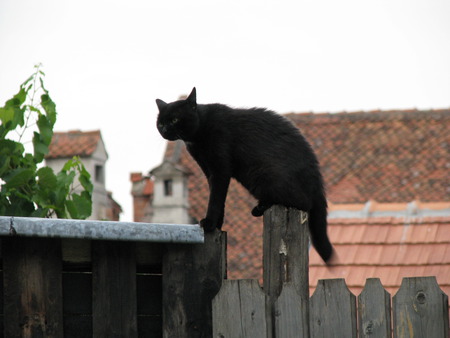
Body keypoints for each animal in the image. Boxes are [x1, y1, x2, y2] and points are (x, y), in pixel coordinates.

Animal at [156, 87, 332, 262]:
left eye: (175, 120)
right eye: (160, 123)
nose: (164, 129)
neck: (199, 131)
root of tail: (316, 178)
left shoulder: (220, 170)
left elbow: (215, 198)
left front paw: (210, 223)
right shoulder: (209, 171)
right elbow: (218, 199)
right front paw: (218, 225)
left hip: (260, 174)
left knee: (304, 202)